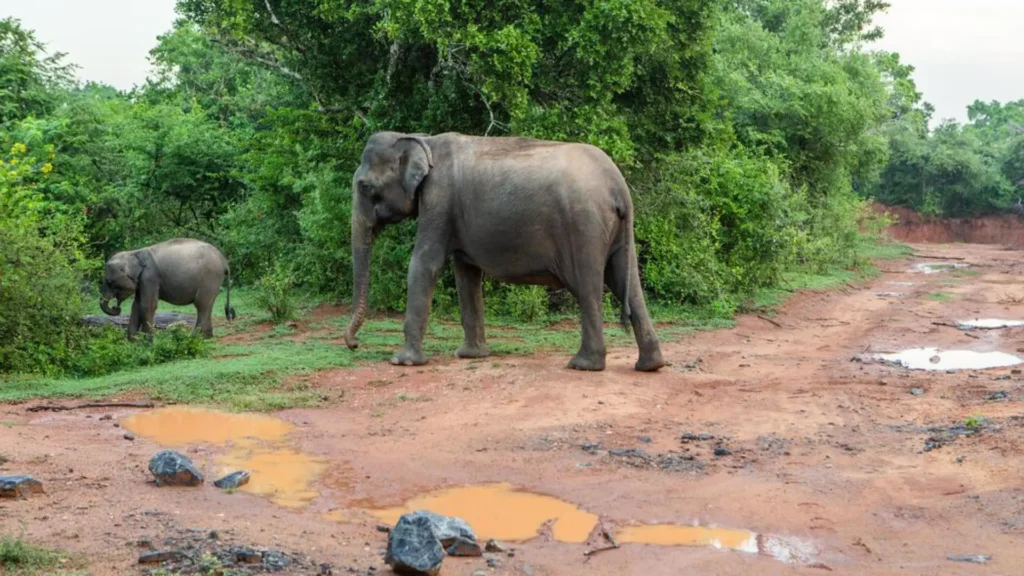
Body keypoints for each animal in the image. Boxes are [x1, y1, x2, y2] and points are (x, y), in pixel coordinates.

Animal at [99, 238, 236, 339]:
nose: (116, 307)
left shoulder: (150, 277)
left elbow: (147, 305)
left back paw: (197, 337)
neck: (133, 253)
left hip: (210, 278)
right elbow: (136, 306)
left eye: (109, 282)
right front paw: (133, 341)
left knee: (201, 304)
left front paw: (147, 341)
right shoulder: (142, 281)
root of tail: (225, 262)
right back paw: (205, 336)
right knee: (206, 305)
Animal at [343, 131, 666, 372]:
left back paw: (583, 365)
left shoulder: (439, 200)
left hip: (583, 225)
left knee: (588, 287)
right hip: (614, 230)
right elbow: (466, 273)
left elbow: (424, 263)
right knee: (627, 283)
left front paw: (402, 362)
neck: (422, 139)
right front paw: (471, 355)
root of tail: (618, 186)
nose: (354, 345)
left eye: (365, 187)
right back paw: (650, 365)